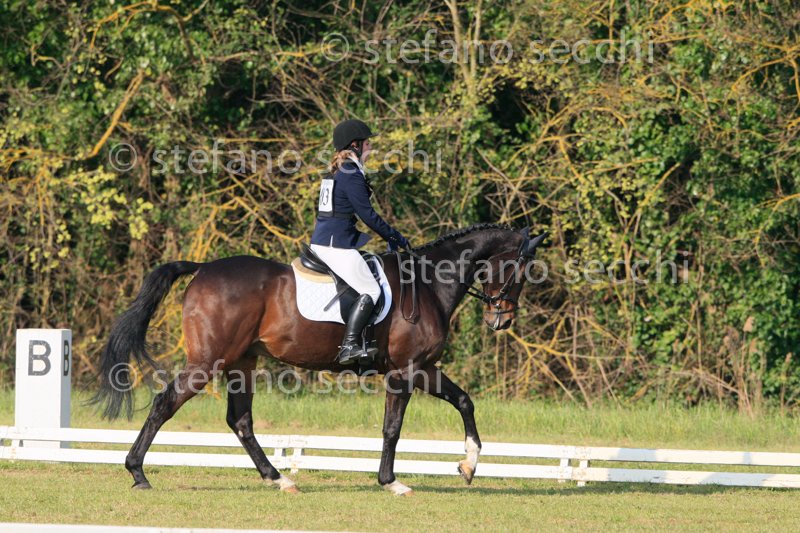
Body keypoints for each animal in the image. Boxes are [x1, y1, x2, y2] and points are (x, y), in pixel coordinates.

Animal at [94, 223, 547, 495]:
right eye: (519, 270)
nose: (501, 320)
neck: (429, 282)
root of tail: (204, 269)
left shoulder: (424, 367)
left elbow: (465, 401)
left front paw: (468, 466)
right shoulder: (405, 371)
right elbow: (392, 428)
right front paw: (391, 482)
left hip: (242, 362)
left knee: (240, 420)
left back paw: (278, 479)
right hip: (209, 362)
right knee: (165, 403)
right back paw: (137, 472)